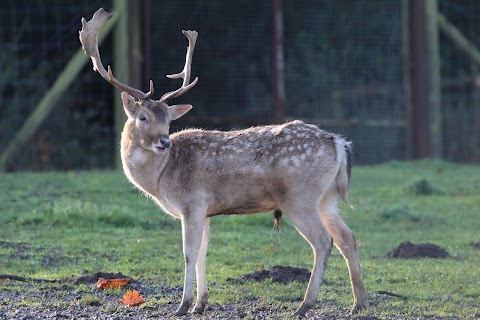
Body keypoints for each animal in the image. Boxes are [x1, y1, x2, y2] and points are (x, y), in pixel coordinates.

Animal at [79, 8, 366, 316]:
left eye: (168, 120)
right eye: (143, 117)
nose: (164, 142)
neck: (161, 178)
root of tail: (338, 143)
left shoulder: (192, 202)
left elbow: (189, 253)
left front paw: (183, 305)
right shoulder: (205, 210)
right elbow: (203, 253)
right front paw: (200, 304)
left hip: (299, 196)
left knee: (323, 241)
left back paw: (304, 305)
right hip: (327, 198)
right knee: (347, 237)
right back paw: (358, 303)